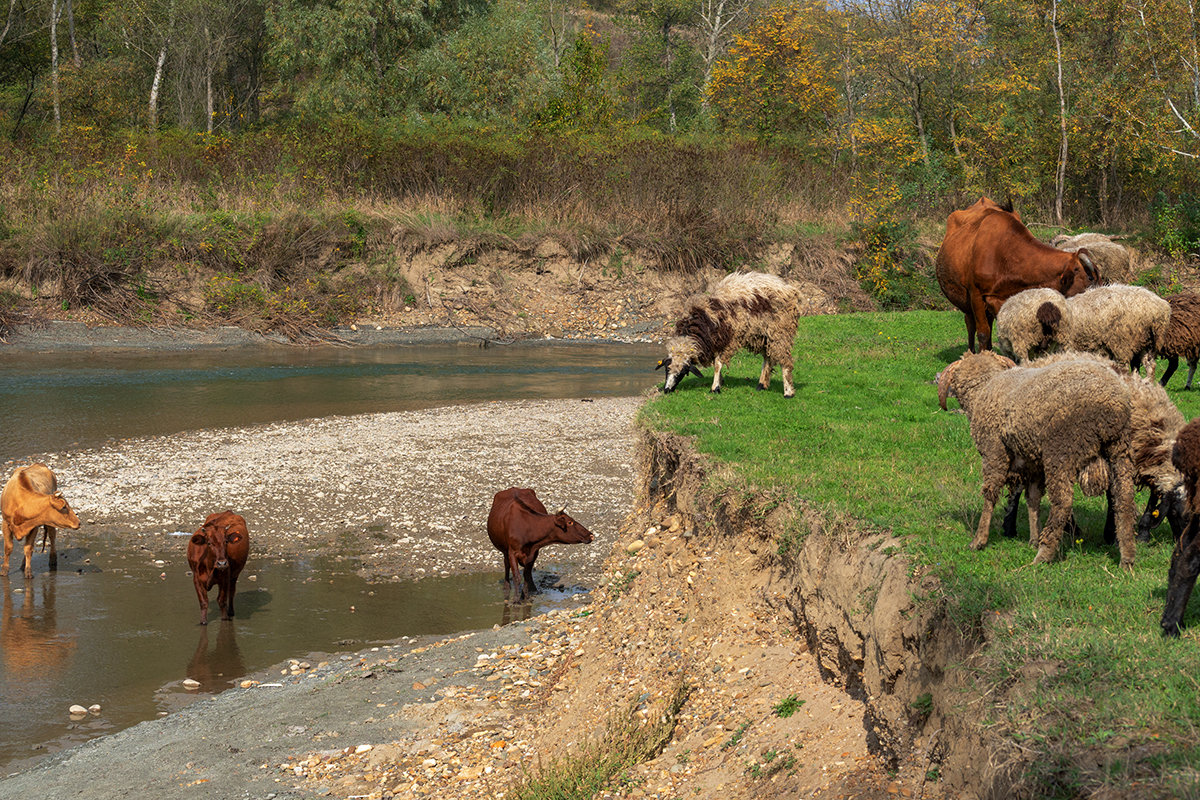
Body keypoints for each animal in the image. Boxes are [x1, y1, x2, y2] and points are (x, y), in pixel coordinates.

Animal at [652, 273, 801, 398]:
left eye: (682, 372)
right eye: (666, 370)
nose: (667, 390)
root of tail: (789, 288)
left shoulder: (727, 342)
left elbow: (718, 364)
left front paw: (715, 387)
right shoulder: (713, 344)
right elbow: (716, 364)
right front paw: (720, 381)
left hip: (780, 332)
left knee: (784, 361)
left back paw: (788, 392)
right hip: (763, 335)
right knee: (768, 357)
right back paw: (762, 385)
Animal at [936, 352, 1132, 568]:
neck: (984, 387)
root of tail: (1110, 402)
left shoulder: (994, 451)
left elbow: (990, 493)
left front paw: (979, 541)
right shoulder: (1033, 464)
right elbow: (1033, 499)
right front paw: (1033, 539)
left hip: (1061, 449)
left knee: (1063, 501)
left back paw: (1043, 555)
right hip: (1119, 449)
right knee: (1124, 498)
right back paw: (1127, 559)